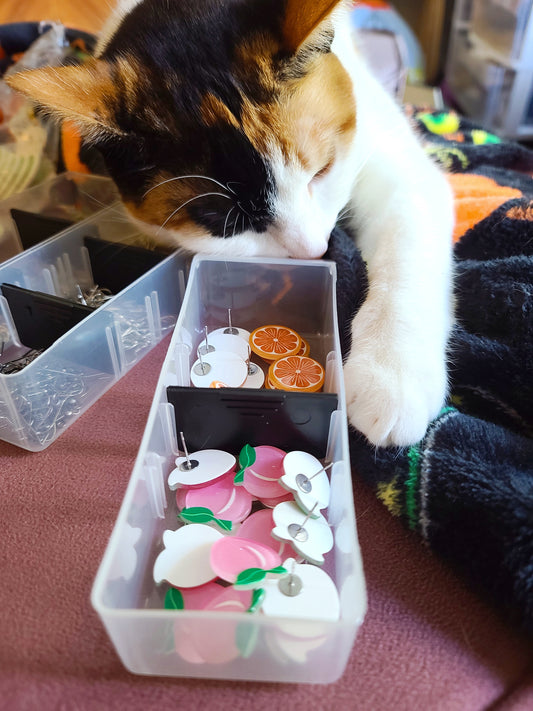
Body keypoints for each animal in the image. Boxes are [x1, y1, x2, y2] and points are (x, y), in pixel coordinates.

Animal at [6, 0, 454, 448]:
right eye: (223, 224)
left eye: (323, 169)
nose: (314, 251)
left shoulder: (399, 167)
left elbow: (407, 246)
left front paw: (392, 375)